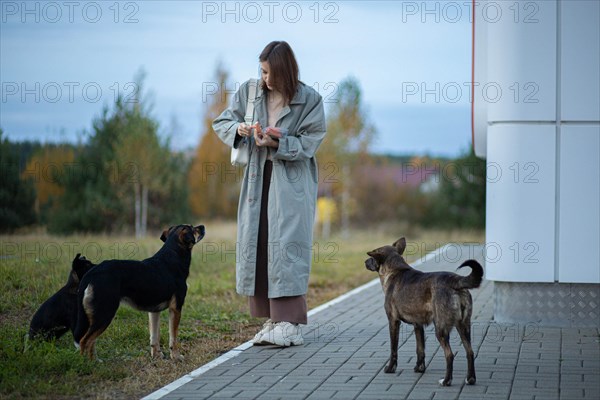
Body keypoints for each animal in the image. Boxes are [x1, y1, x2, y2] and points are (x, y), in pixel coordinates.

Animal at [73, 225, 205, 360]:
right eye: (193, 228)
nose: (202, 226)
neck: (173, 256)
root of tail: (91, 273)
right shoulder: (176, 308)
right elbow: (173, 338)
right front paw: (176, 356)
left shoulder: (154, 311)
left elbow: (154, 337)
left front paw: (157, 355)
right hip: (104, 313)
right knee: (85, 341)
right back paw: (89, 363)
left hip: (95, 316)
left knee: (89, 342)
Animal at [366, 238, 482, 388]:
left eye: (372, 257)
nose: (365, 262)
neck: (395, 270)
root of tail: (455, 281)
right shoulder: (418, 325)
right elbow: (420, 349)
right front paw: (419, 368)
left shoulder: (393, 322)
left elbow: (393, 349)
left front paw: (391, 368)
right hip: (463, 326)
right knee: (470, 352)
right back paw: (470, 378)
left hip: (441, 329)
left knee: (449, 355)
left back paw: (446, 381)